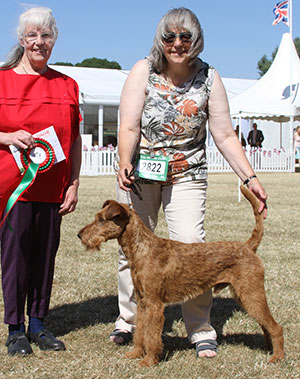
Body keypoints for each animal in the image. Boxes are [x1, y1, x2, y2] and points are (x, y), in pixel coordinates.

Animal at [77, 186, 284, 366]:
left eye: (101, 220)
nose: (80, 234)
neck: (142, 249)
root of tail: (248, 247)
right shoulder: (143, 302)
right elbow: (140, 331)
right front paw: (135, 353)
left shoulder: (154, 305)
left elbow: (151, 335)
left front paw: (149, 361)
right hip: (245, 295)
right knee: (266, 325)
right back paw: (268, 349)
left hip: (251, 293)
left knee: (275, 326)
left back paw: (277, 357)